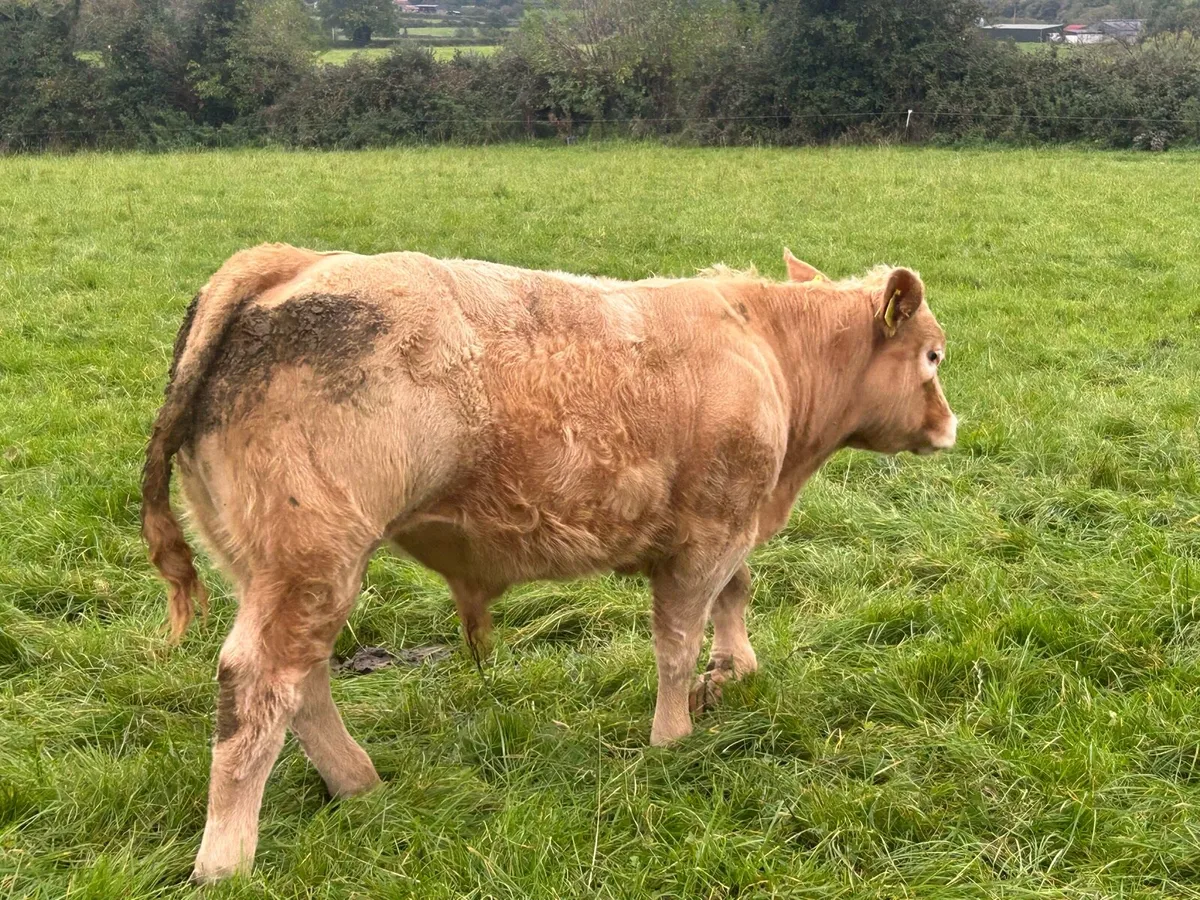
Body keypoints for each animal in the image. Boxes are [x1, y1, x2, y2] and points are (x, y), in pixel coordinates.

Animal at [141, 244, 956, 881]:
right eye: (933, 355)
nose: (951, 427)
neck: (764, 346)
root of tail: (287, 264)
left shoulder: (732, 526)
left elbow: (736, 596)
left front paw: (734, 674)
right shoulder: (708, 533)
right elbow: (678, 641)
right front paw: (673, 738)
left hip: (272, 568)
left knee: (301, 683)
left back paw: (358, 783)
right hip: (312, 559)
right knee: (258, 686)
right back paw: (226, 861)